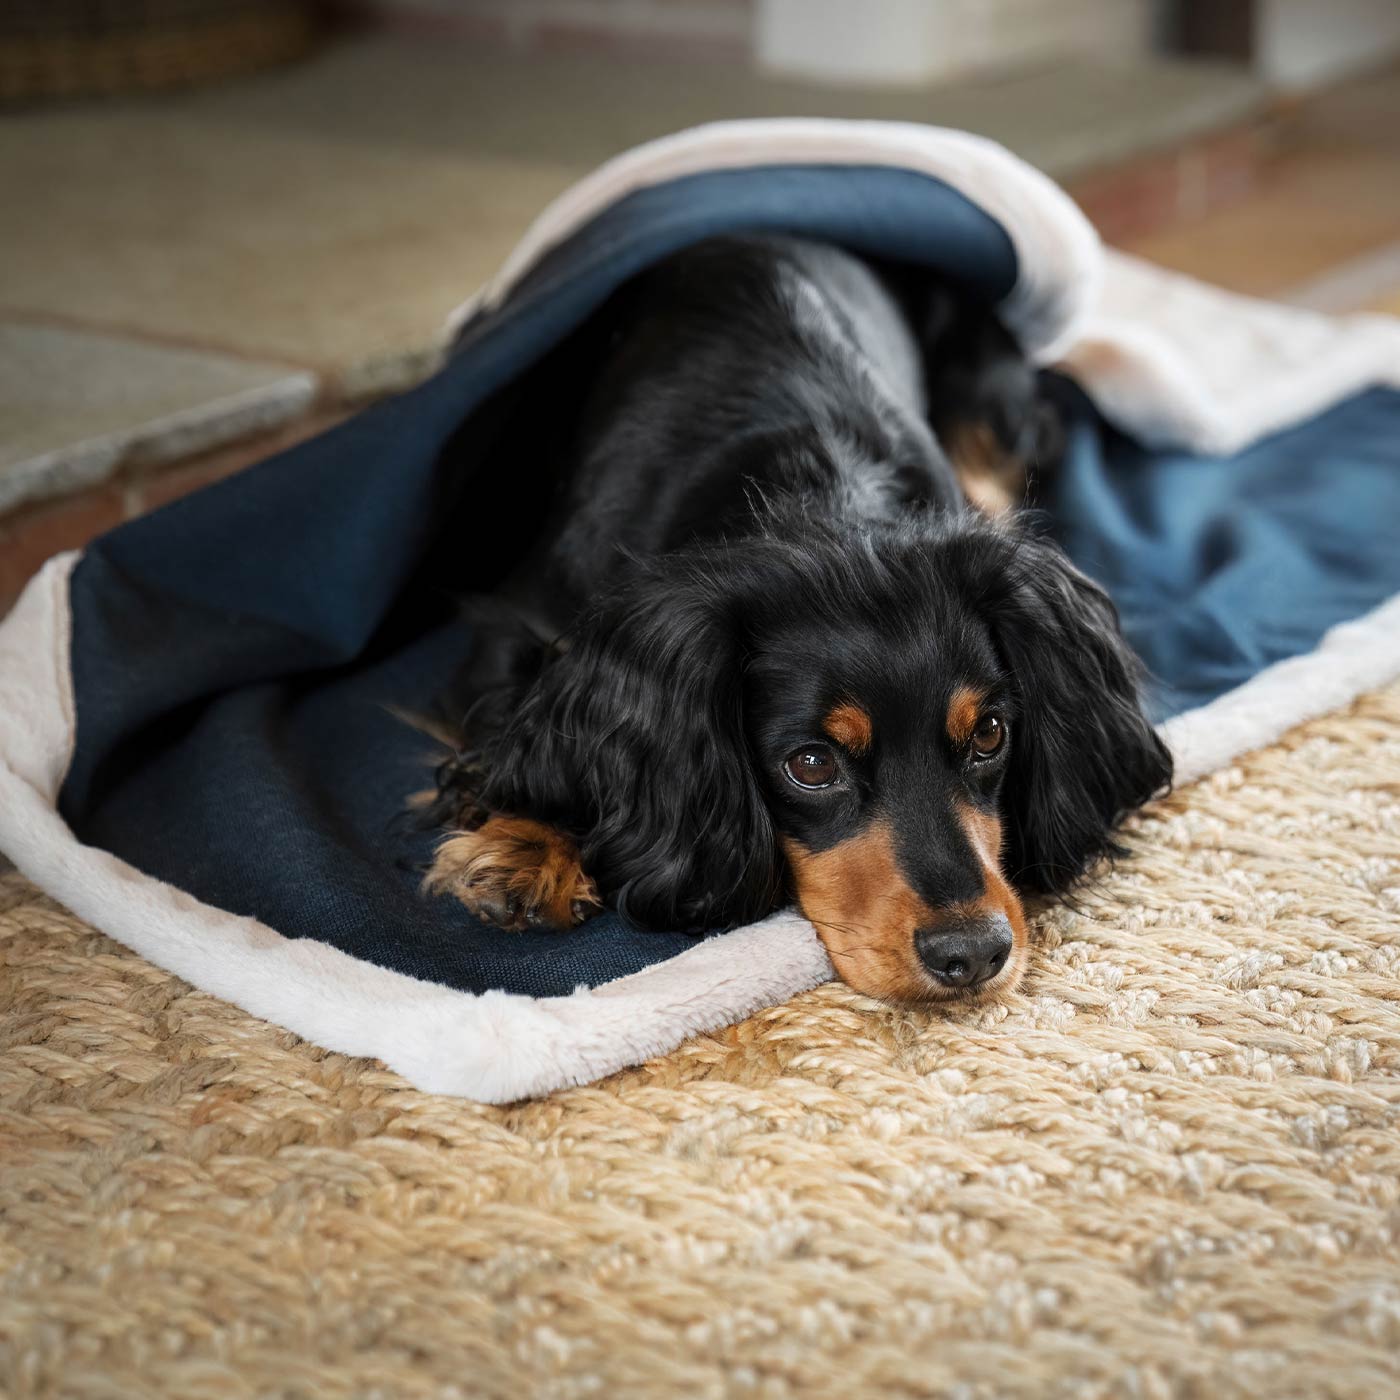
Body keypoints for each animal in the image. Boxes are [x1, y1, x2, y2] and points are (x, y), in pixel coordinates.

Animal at [414, 238, 1170, 1008]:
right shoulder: (519, 623)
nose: (974, 953)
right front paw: (527, 846)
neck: (819, 491)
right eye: (810, 765)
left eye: (990, 733)